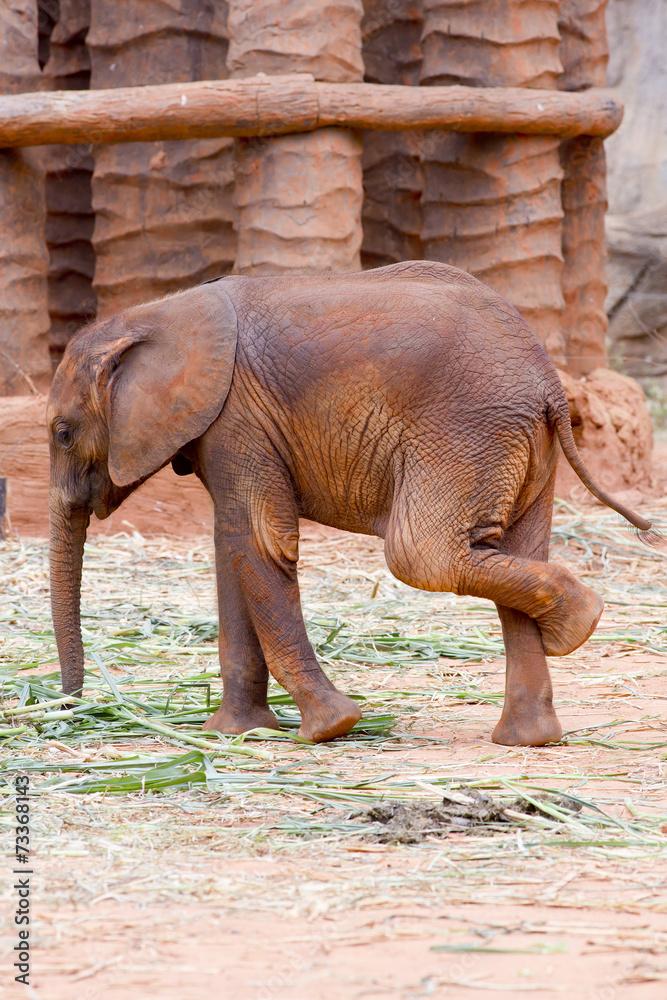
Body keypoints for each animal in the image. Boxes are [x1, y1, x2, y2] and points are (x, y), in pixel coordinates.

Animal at [47, 260, 652, 746]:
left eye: (62, 433)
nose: (71, 704)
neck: (156, 314)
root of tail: (550, 383)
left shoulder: (238, 419)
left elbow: (260, 543)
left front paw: (328, 730)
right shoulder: (227, 427)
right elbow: (231, 549)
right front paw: (236, 734)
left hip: (467, 432)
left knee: (421, 555)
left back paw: (579, 623)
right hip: (516, 442)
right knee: (513, 548)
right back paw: (532, 733)